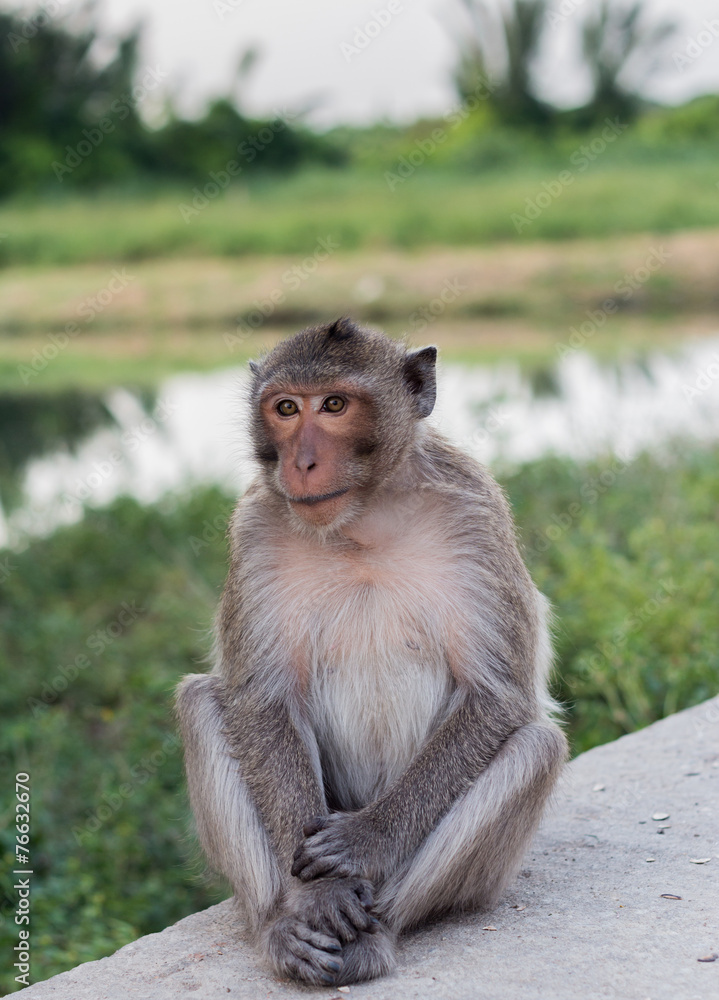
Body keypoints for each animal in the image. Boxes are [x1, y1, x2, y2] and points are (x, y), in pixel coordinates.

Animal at [176, 317, 567, 987]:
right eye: (286, 408)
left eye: (334, 405)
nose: (302, 461)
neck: (364, 520)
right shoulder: (254, 528)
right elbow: (262, 699)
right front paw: (318, 898)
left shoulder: (476, 511)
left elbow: (496, 694)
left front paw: (368, 841)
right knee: (203, 701)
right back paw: (285, 927)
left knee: (536, 745)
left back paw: (376, 929)